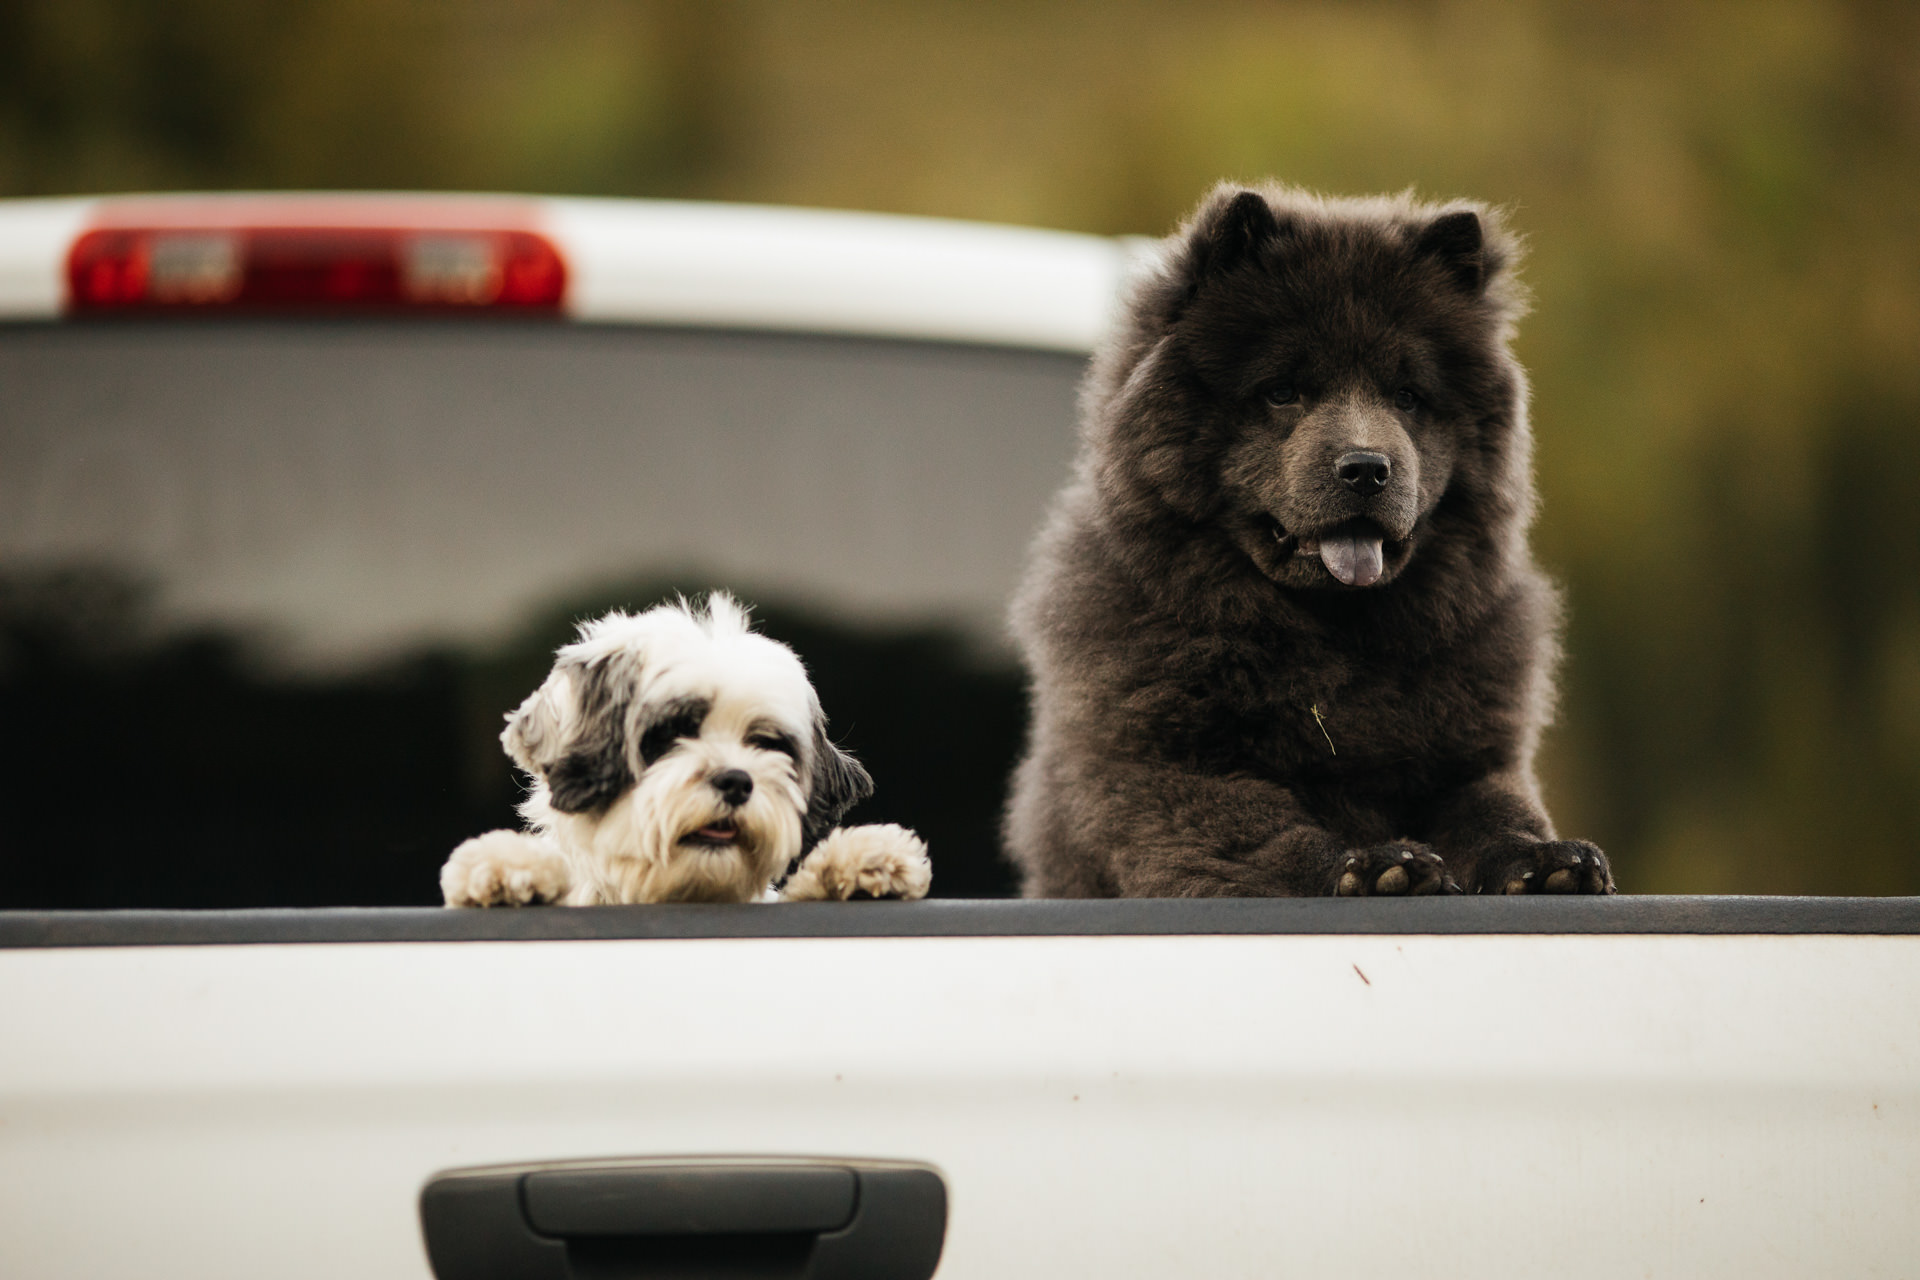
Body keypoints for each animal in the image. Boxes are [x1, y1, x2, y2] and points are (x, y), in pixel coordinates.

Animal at [1013, 182, 1612, 901]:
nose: (1367, 468)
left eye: (1407, 396)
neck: (1336, 636)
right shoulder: (1165, 770)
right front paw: (1380, 865)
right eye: (1282, 392)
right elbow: (1266, 836)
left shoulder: (1471, 758)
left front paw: (1549, 861)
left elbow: (1496, 812)